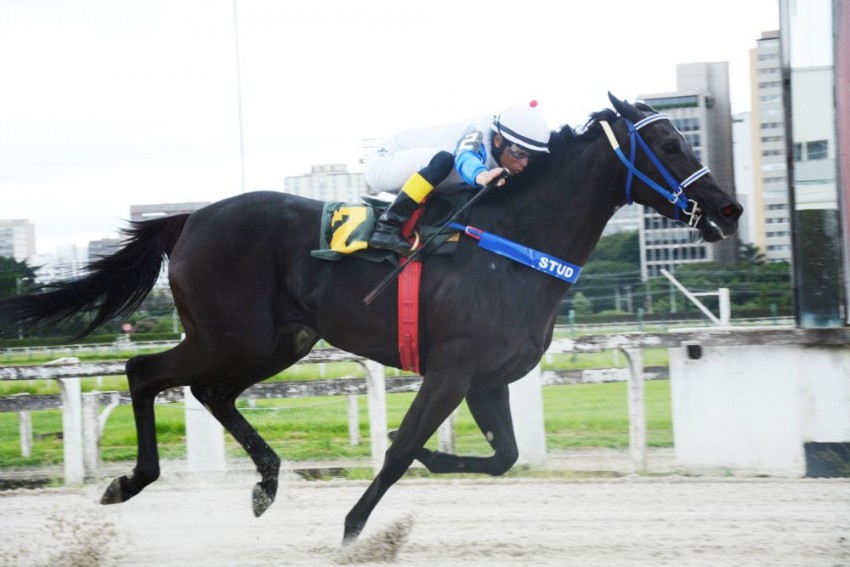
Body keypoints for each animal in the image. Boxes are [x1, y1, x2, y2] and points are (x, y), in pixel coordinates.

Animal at [0, 95, 740, 544]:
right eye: (669, 141)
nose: (728, 209)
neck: (512, 245)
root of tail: (192, 216)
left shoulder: (487, 379)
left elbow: (503, 456)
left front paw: (439, 461)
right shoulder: (453, 370)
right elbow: (401, 448)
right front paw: (355, 529)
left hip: (279, 341)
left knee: (209, 391)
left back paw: (265, 480)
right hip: (229, 333)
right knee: (144, 370)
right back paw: (131, 479)